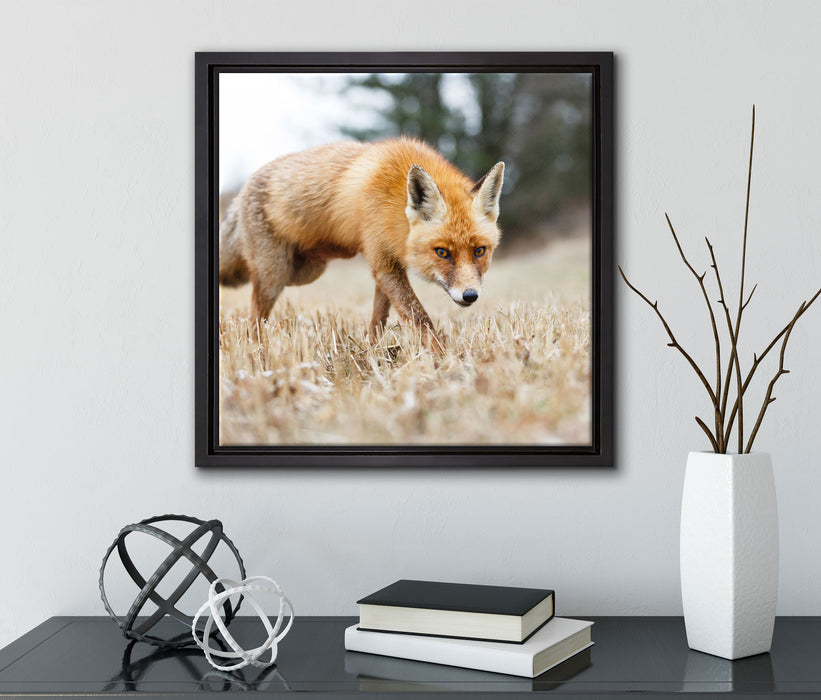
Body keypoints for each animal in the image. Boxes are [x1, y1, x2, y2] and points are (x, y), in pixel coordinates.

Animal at [218, 137, 505, 348]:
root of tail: (241, 190)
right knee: (255, 316)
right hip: (275, 276)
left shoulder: (387, 265)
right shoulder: (383, 262)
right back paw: (257, 349)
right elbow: (419, 317)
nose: (470, 295)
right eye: (442, 252)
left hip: (304, 271)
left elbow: (379, 319)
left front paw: (371, 351)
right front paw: (443, 359)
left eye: (479, 251)